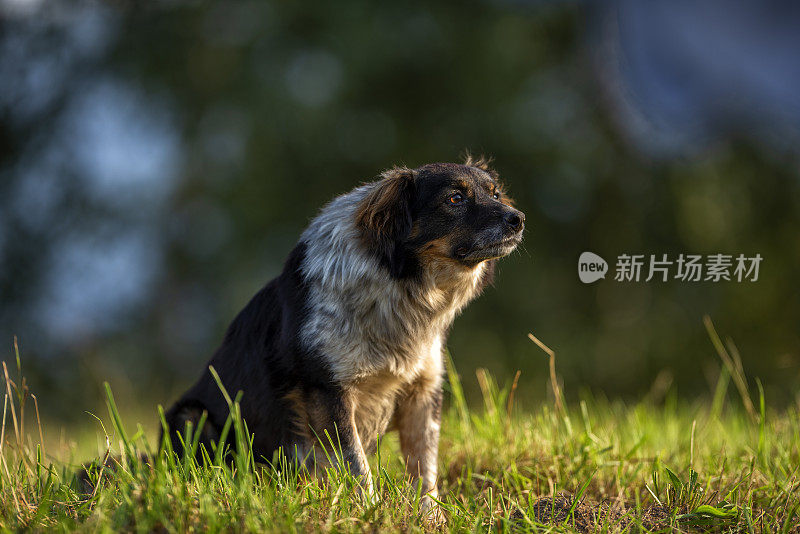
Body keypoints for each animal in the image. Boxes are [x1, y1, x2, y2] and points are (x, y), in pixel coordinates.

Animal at [162, 157, 524, 512]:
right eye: (455, 198)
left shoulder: (423, 389)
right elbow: (356, 465)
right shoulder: (328, 391)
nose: (518, 219)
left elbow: (424, 469)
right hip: (189, 417)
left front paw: (431, 518)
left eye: (494, 194)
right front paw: (368, 512)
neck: (400, 295)